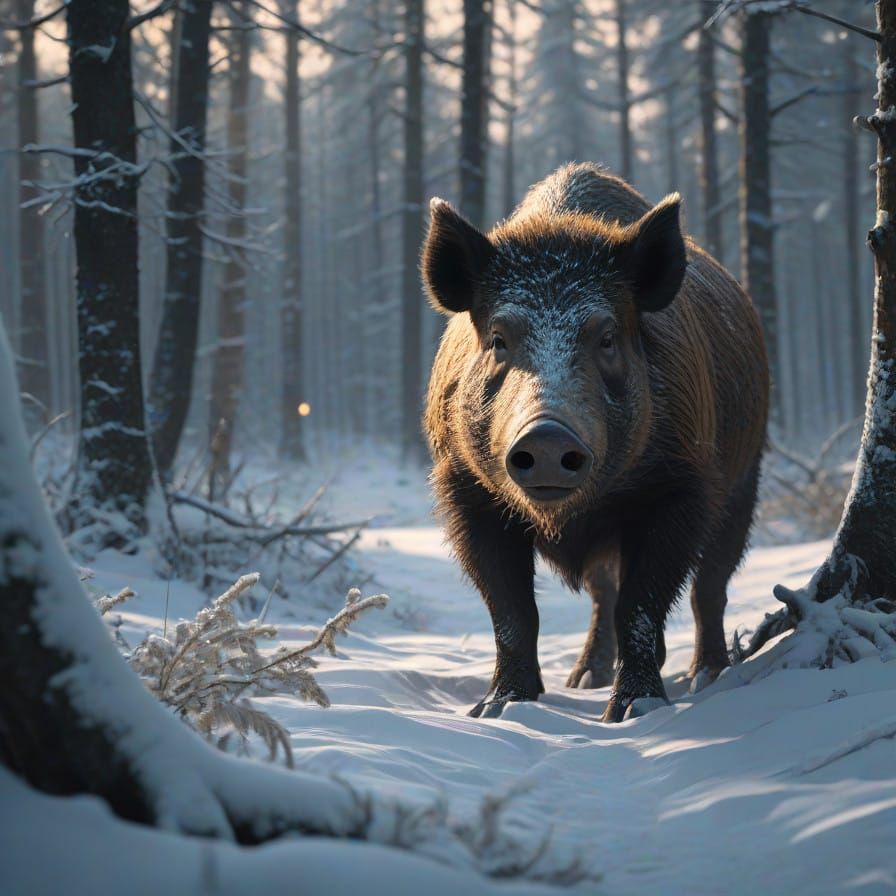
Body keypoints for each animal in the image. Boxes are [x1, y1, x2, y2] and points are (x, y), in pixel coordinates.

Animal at [422, 163, 769, 722]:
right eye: (498, 338)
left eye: (606, 337)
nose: (546, 433)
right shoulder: (464, 489)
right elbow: (512, 609)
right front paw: (499, 709)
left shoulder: (682, 485)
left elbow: (642, 604)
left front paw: (633, 710)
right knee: (603, 591)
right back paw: (584, 678)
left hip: (745, 480)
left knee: (710, 586)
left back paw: (706, 675)